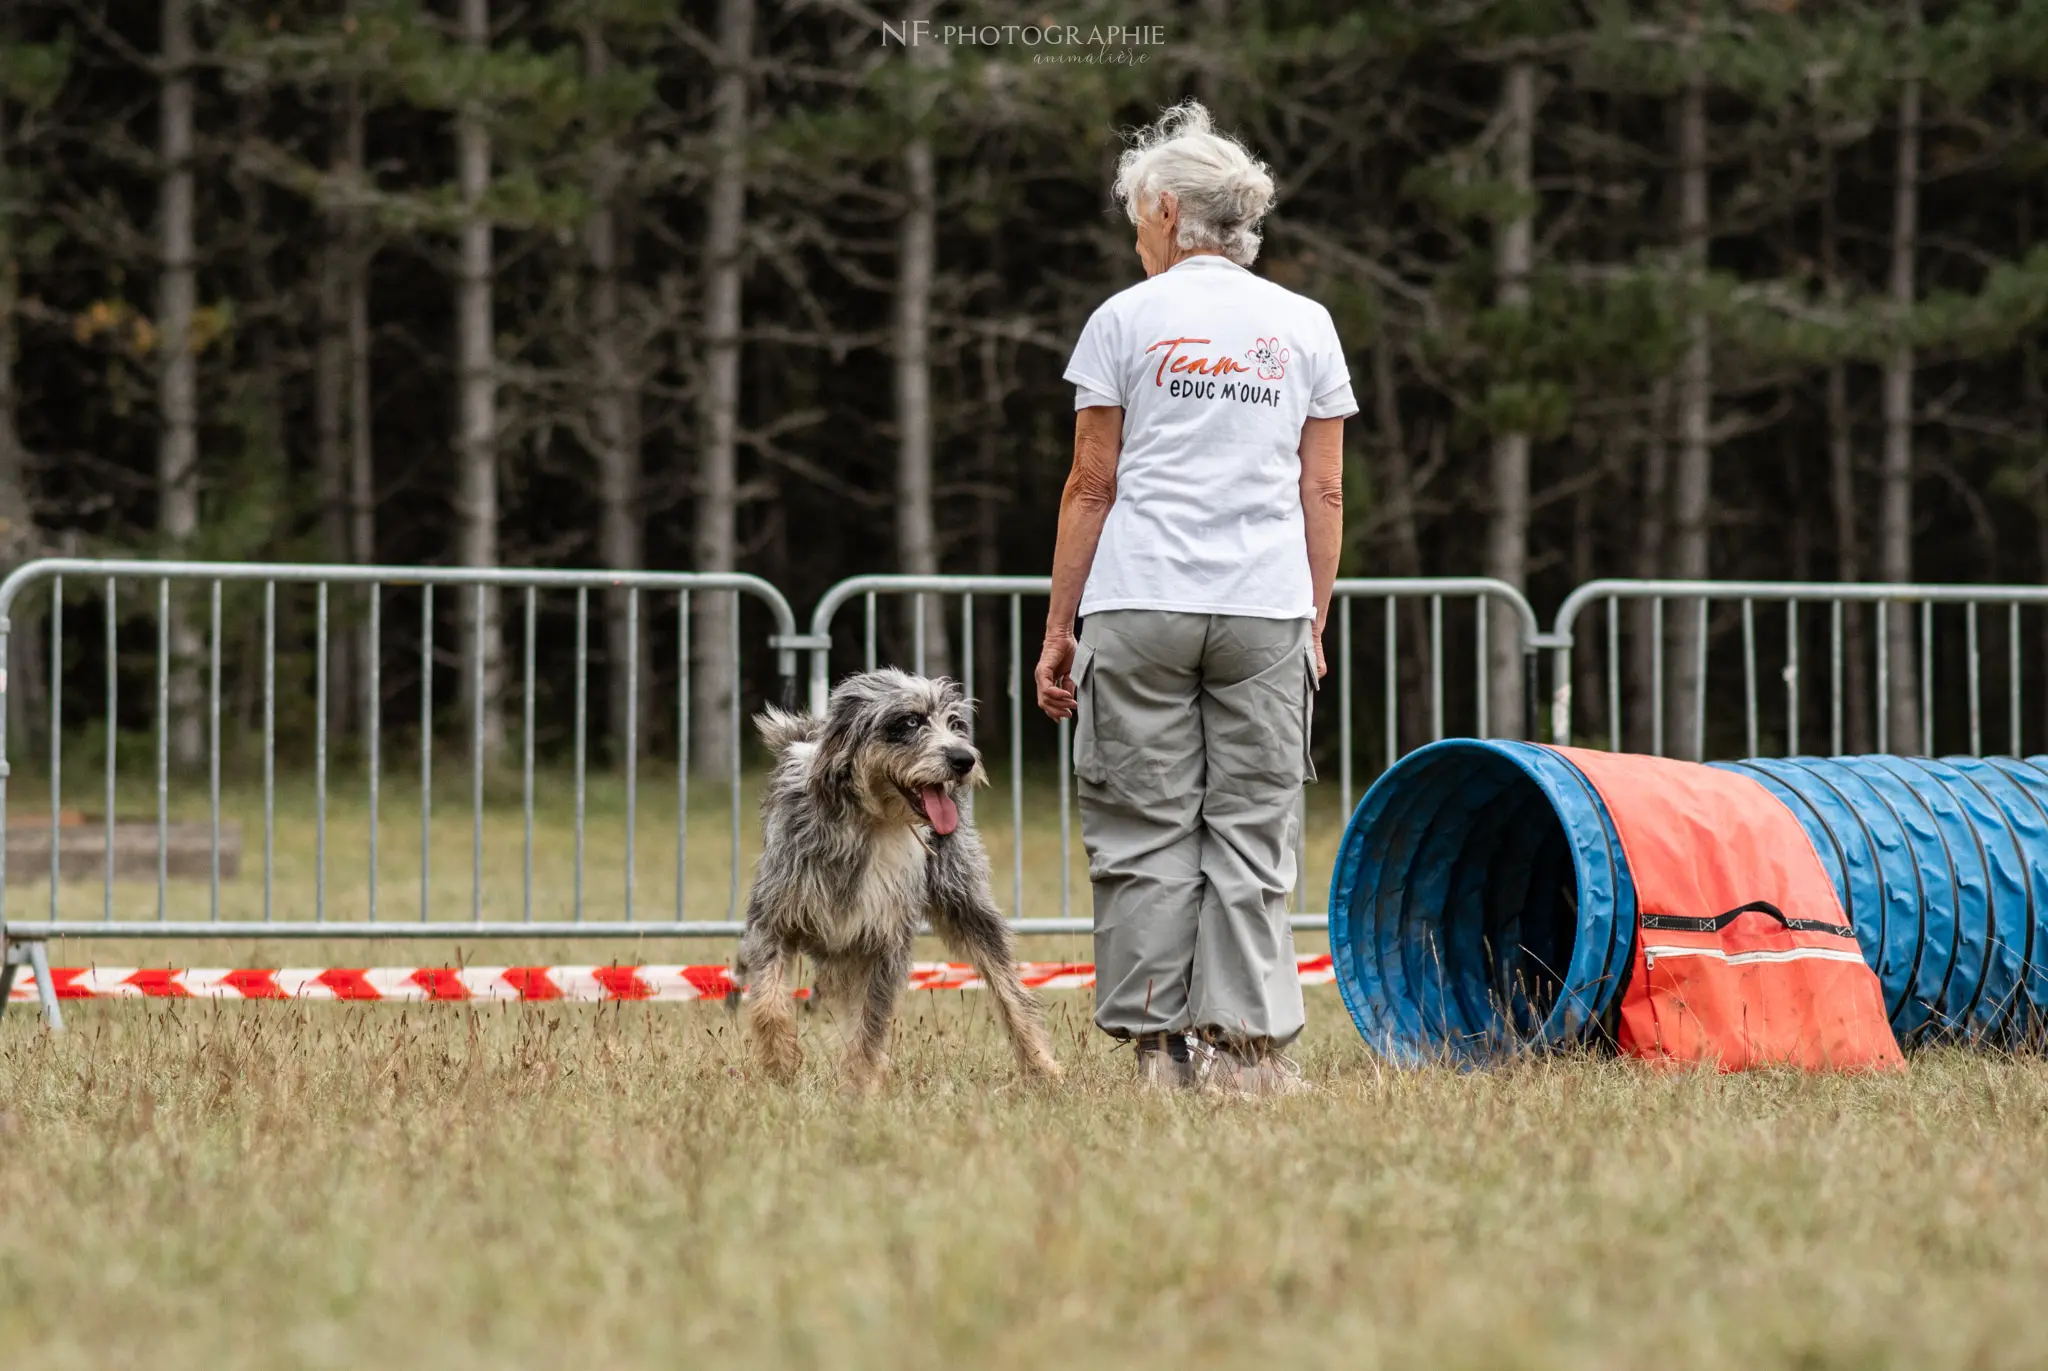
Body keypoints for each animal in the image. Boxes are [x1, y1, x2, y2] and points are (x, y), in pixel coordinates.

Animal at [729, 668, 1064, 1082]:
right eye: (909, 722)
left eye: (955, 723)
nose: (965, 759)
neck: (867, 826)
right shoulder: (772, 923)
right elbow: (770, 1003)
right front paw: (781, 1066)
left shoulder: (885, 941)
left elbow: (869, 1022)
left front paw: (859, 1083)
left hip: (967, 903)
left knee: (1009, 988)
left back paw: (1041, 1065)